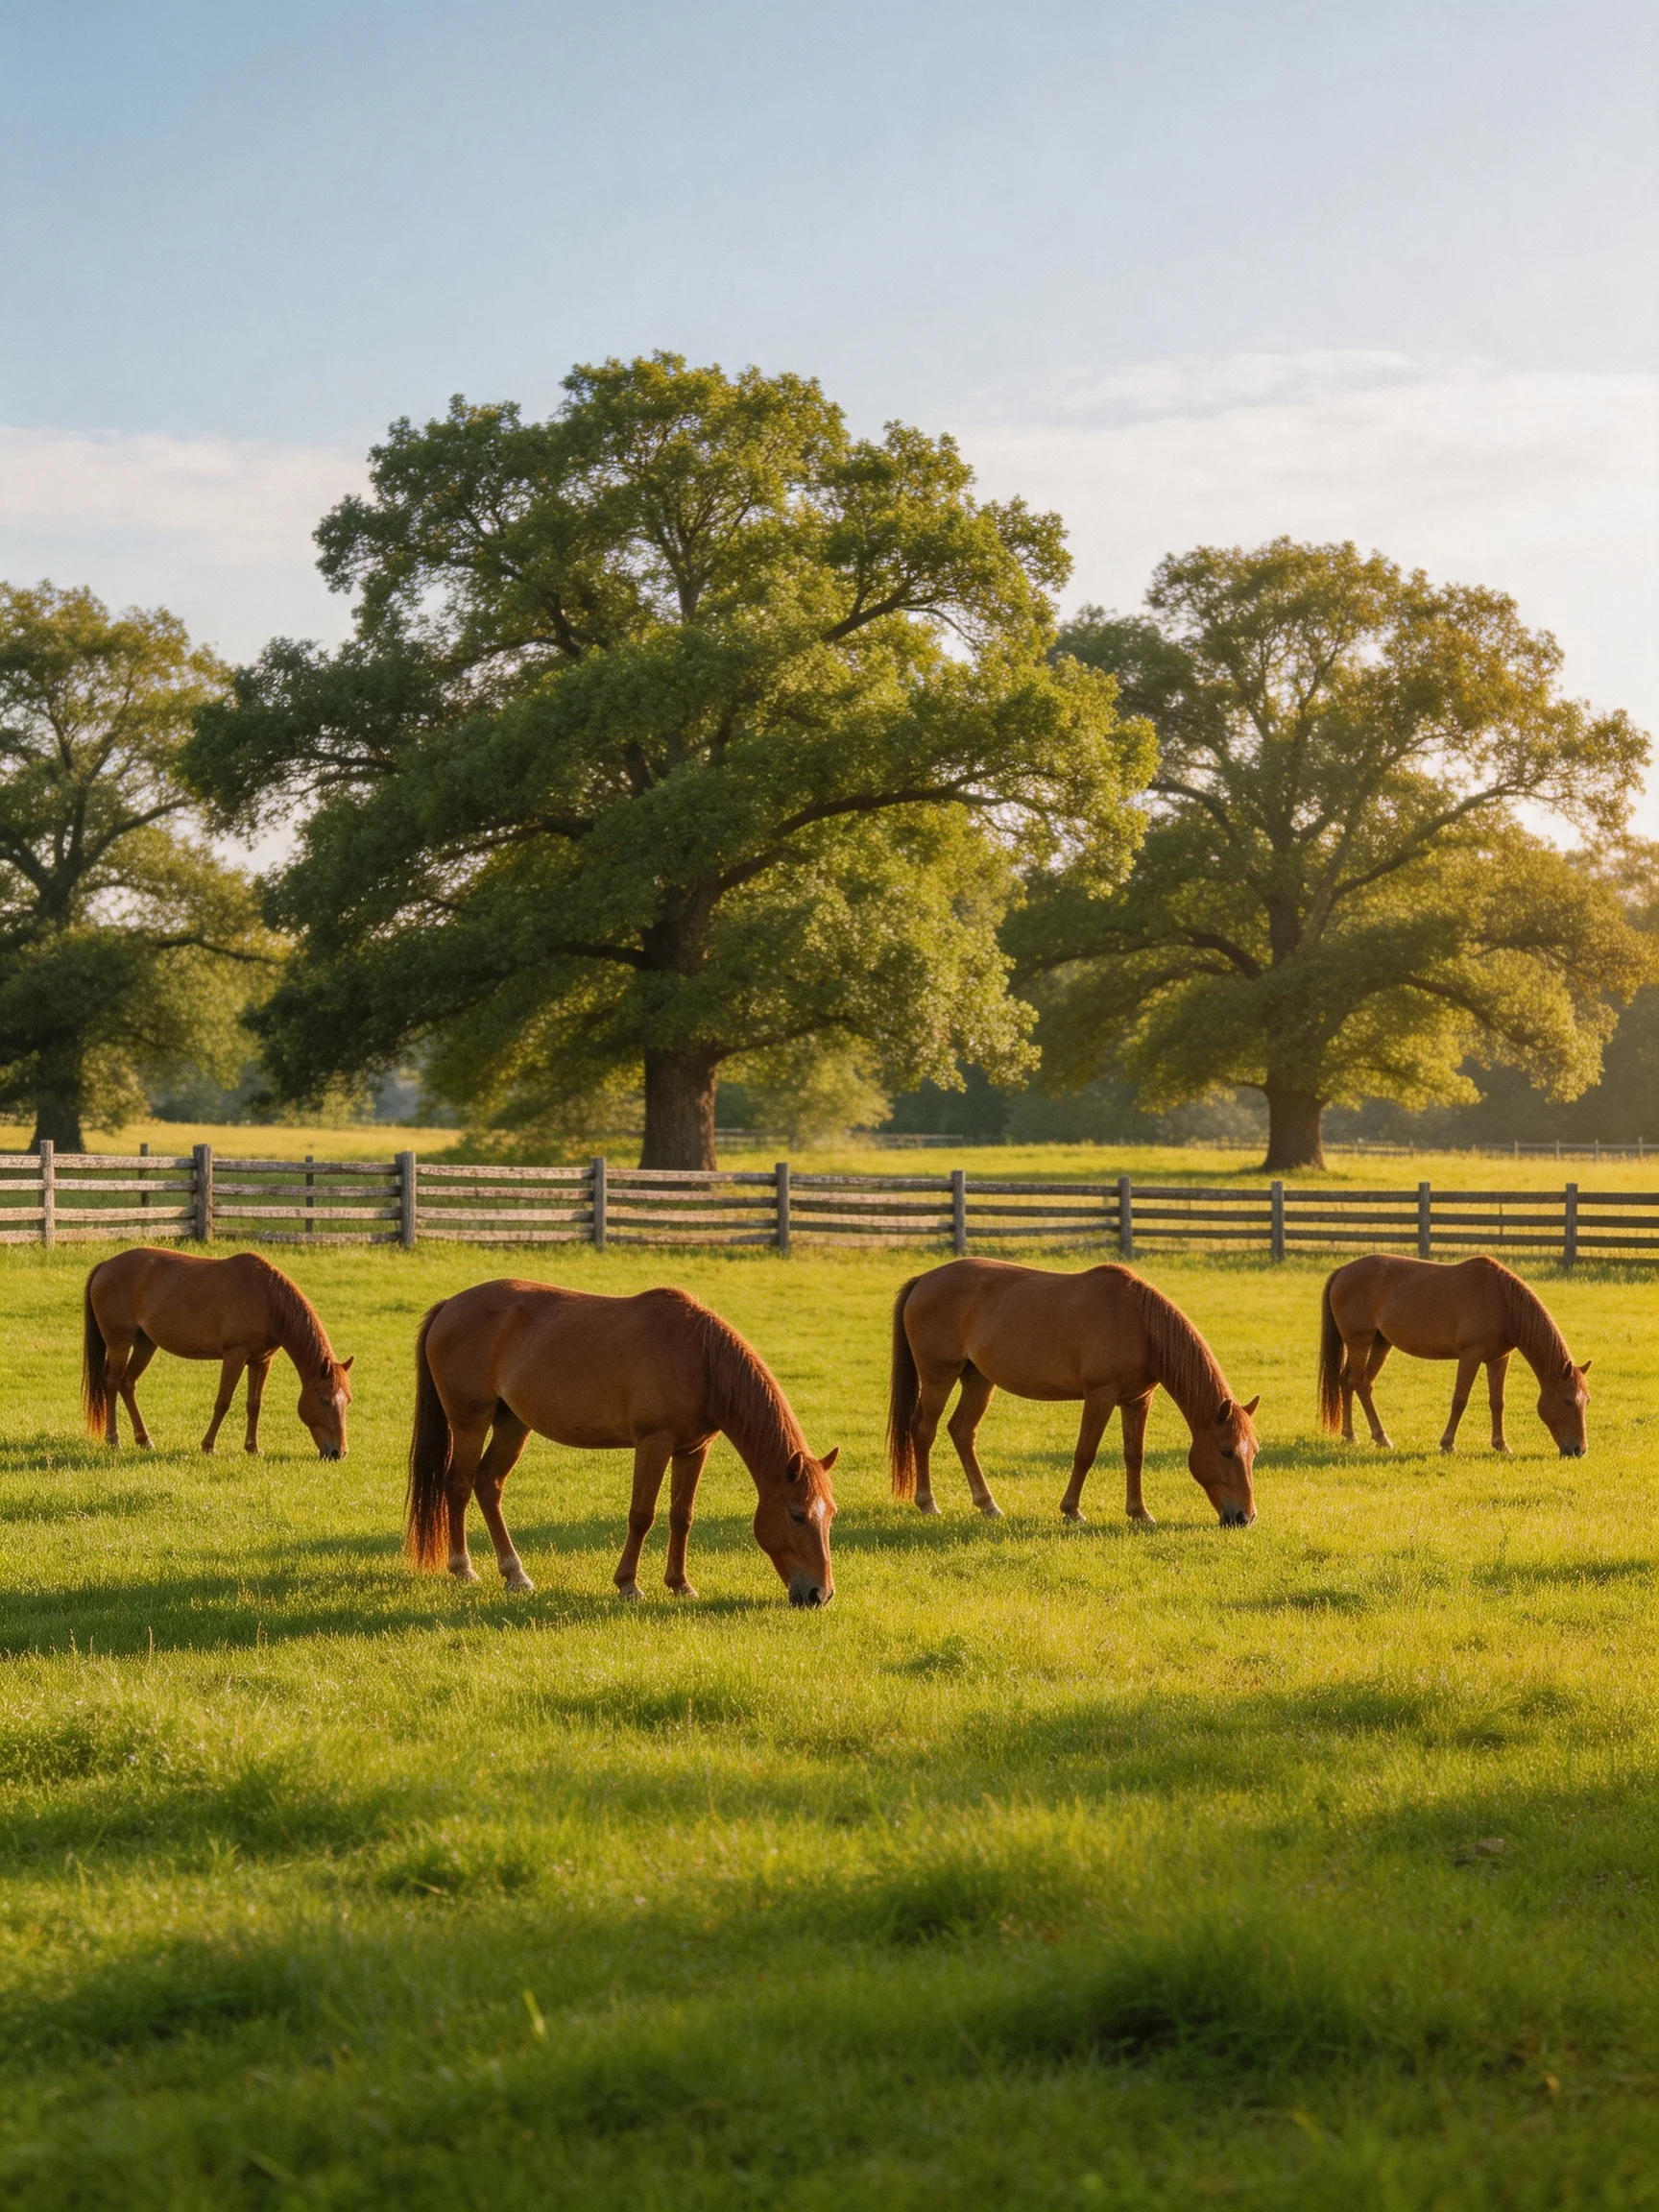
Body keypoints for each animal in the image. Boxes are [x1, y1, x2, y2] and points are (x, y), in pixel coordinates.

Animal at [83, 1247, 353, 1457]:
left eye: (348, 1400)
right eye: (324, 1400)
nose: (338, 1452)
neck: (267, 1298)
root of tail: (106, 1265)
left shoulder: (262, 1360)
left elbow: (254, 1404)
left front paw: (252, 1448)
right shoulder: (235, 1355)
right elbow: (223, 1402)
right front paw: (208, 1446)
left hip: (145, 1344)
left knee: (128, 1384)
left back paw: (144, 1440)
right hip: (119, 1342)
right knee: (112, 1382)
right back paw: (113, 1439)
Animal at [406, 1279, 839, 1604]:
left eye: (831, 1514)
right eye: (797, 1514)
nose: (820, 1594)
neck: (700, 1360)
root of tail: (449, 1306)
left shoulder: (694, 1449)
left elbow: (681, 1516)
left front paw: (680, 1584)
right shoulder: (653, 1443)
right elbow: (641, 1515)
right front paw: (628, 1584)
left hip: (512, 1425)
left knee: (488, 1485)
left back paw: (515, 1574)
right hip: (470, 1421)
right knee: (459, 1485)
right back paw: (463, 1567)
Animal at [888, 1258, 1259, 1527]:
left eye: (1254, 1452)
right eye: (1226, 1451)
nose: (1245, 1517)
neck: (1138, 1324)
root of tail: (924, 1280)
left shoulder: (1138, 1400)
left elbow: (1134, 1455)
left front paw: (1139, 1513)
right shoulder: (1100, 1395)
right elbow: (1085, 1453)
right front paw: (1072, 1510)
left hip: (978, 1380)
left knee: (963, 1432)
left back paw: (988, 1504)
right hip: (939, 1376)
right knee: (924, 1430)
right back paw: (928, 1503)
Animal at [1318, 1254, 1589, 1457]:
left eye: (1586, 1401)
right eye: (1567, 1401)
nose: (1579, 1450)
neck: (1502, 1301)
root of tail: (1342, 1271)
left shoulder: (1499, 1359)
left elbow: (1497, 1402)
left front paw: (1501, 1445)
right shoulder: (1470, 1355)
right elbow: (1460, 1400)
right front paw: (1447, 1443)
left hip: (1380, 1344)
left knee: (1355, 1383)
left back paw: (1361, 1436)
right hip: (1359, 1342)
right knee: (1356, 1383)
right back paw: (1369, 1436)